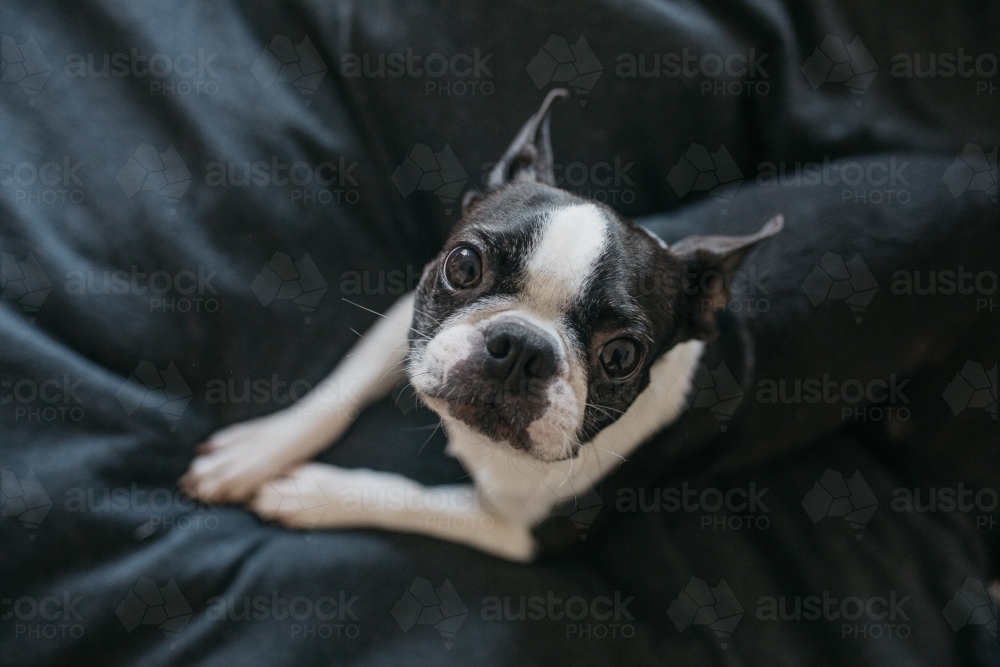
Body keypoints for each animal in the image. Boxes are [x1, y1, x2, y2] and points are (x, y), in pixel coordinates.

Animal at [184, 86, 784, 560]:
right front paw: (254, 455)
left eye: (621, 356)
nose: (522, 348)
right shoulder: (410, 321)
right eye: (464, 265)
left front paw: (312, 493)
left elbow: (416, 497)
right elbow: (339, 391)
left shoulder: (529, 533)